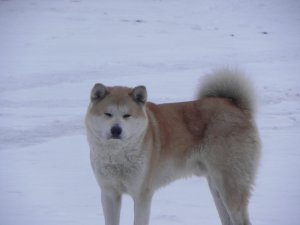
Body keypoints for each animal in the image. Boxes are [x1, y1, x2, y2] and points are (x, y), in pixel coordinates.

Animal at [84, 69, 260, 225]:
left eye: (127, 115)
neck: (117, 155)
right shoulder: (109, 193)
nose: (116, 130)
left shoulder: (142, 195)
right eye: (107, 114)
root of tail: (235, 106)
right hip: (216, 187)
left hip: (230, 185)